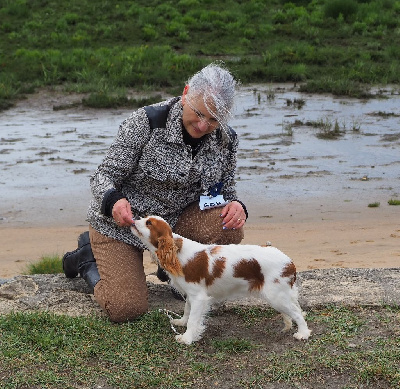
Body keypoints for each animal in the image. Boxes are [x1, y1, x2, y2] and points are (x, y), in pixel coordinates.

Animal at [130, 214, 310, 344]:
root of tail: (289, 262)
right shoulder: (191, 294)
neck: (177, 252)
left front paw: (187, 338)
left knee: (297, 313)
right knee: (294, 310)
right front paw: (181, 322)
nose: (133, 219)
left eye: (149, 223)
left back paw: (303, 333)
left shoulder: (199, 297)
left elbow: (193, 319)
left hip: (276, 296)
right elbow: (187, 311)